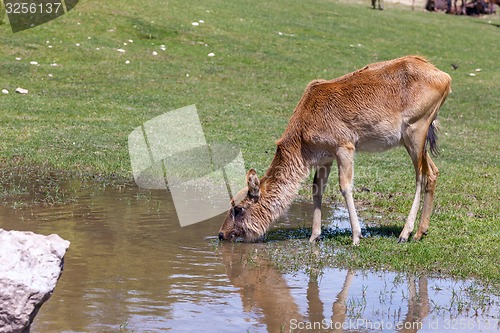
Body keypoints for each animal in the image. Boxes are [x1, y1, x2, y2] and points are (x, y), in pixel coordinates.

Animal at [217, 55, 452, 244]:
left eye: (238, 208)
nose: (221, 234)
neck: (302, 139)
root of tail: (446, 78)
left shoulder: (344, 146)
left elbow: (345, 186)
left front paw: (356, 236)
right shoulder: (325, 157)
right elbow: (316, 188)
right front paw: (314, 236)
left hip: (416, 129)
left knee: (421, 175)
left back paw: (405, 234)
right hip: (417, 138)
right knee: (433, 172)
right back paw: (421, 232)